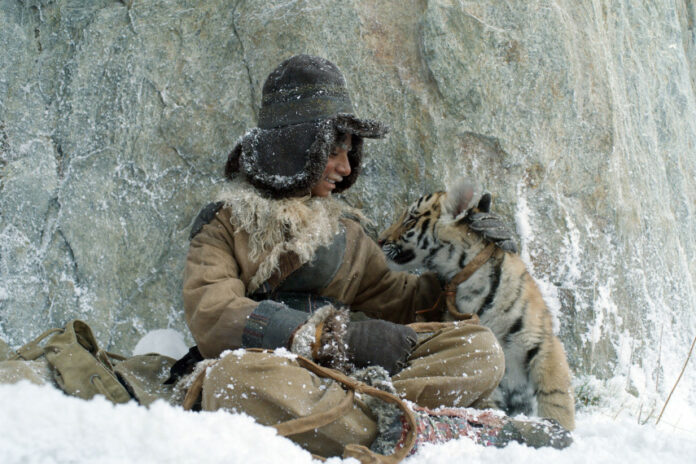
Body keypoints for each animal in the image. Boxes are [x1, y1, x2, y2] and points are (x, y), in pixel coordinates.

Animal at [378, 178, 575, 431]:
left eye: (410, 219)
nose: (380, 239)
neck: (465, 279)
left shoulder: (542, 343)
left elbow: (556, 396)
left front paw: (560, 426)